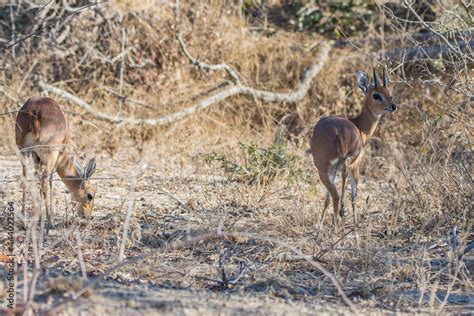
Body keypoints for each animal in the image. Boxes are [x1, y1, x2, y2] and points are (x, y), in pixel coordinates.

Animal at [312, 68, 396, 228]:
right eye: (376, 95)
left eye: (390, 92)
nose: (393, 106)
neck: (360, 127)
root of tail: (339, 132)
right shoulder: (356, 164)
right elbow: (354, 195)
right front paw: (354, 221)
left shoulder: (334, 169)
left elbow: (327, 198)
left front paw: (320, 226)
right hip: (349, 162)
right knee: (342, 190)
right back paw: (339, 221)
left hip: (324, 169)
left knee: (332, 195)